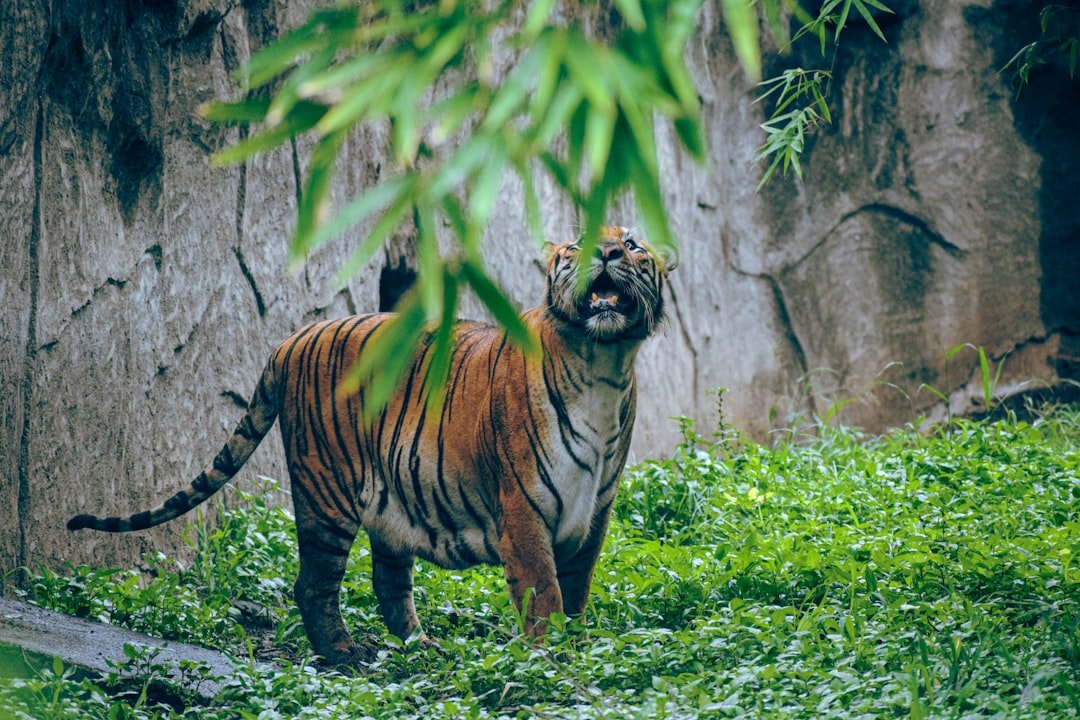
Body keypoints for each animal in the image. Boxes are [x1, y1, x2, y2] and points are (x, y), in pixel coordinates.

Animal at [68, 225, 676, 666]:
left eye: (633, 244)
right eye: (580, 243)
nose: (608, 251)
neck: (601, 364)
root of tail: (289, 339)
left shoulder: (594, 512)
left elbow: (575, 591)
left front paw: (579, 647)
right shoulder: (524, 509)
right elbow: (544, 594)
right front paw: (551, 657)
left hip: (397, 499)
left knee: (388, 582)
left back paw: (421, 646)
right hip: (326, 492)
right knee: (313, 584)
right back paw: (344, 653)